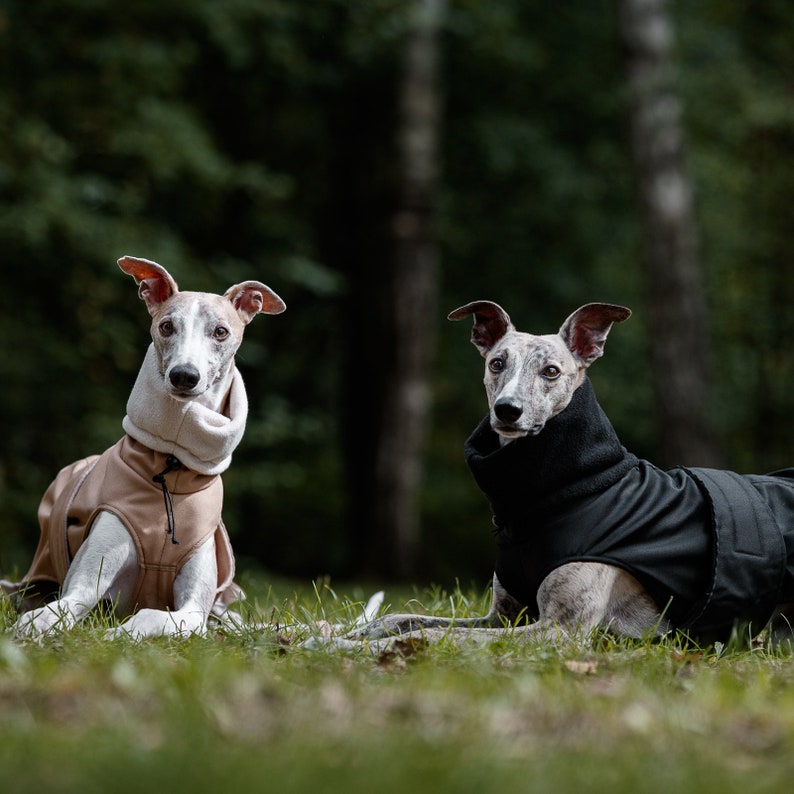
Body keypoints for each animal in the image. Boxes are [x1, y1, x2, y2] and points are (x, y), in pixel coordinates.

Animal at [1, 255, 286, 636]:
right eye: (166, 326)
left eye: (220, 332)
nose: (184, 376)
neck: (172, 466)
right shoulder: (83, 585)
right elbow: (62, 607)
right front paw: (34, 626)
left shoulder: (195, 610)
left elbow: (154, 614)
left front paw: (119, 633)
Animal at [348, 300, 794, 648]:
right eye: (496, 364)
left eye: (551, 371)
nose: (507, 410)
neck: (564, 490)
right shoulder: (502, 616)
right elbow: (401, 619)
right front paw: (343, 635)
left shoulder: (558, 629)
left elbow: (436, 635)